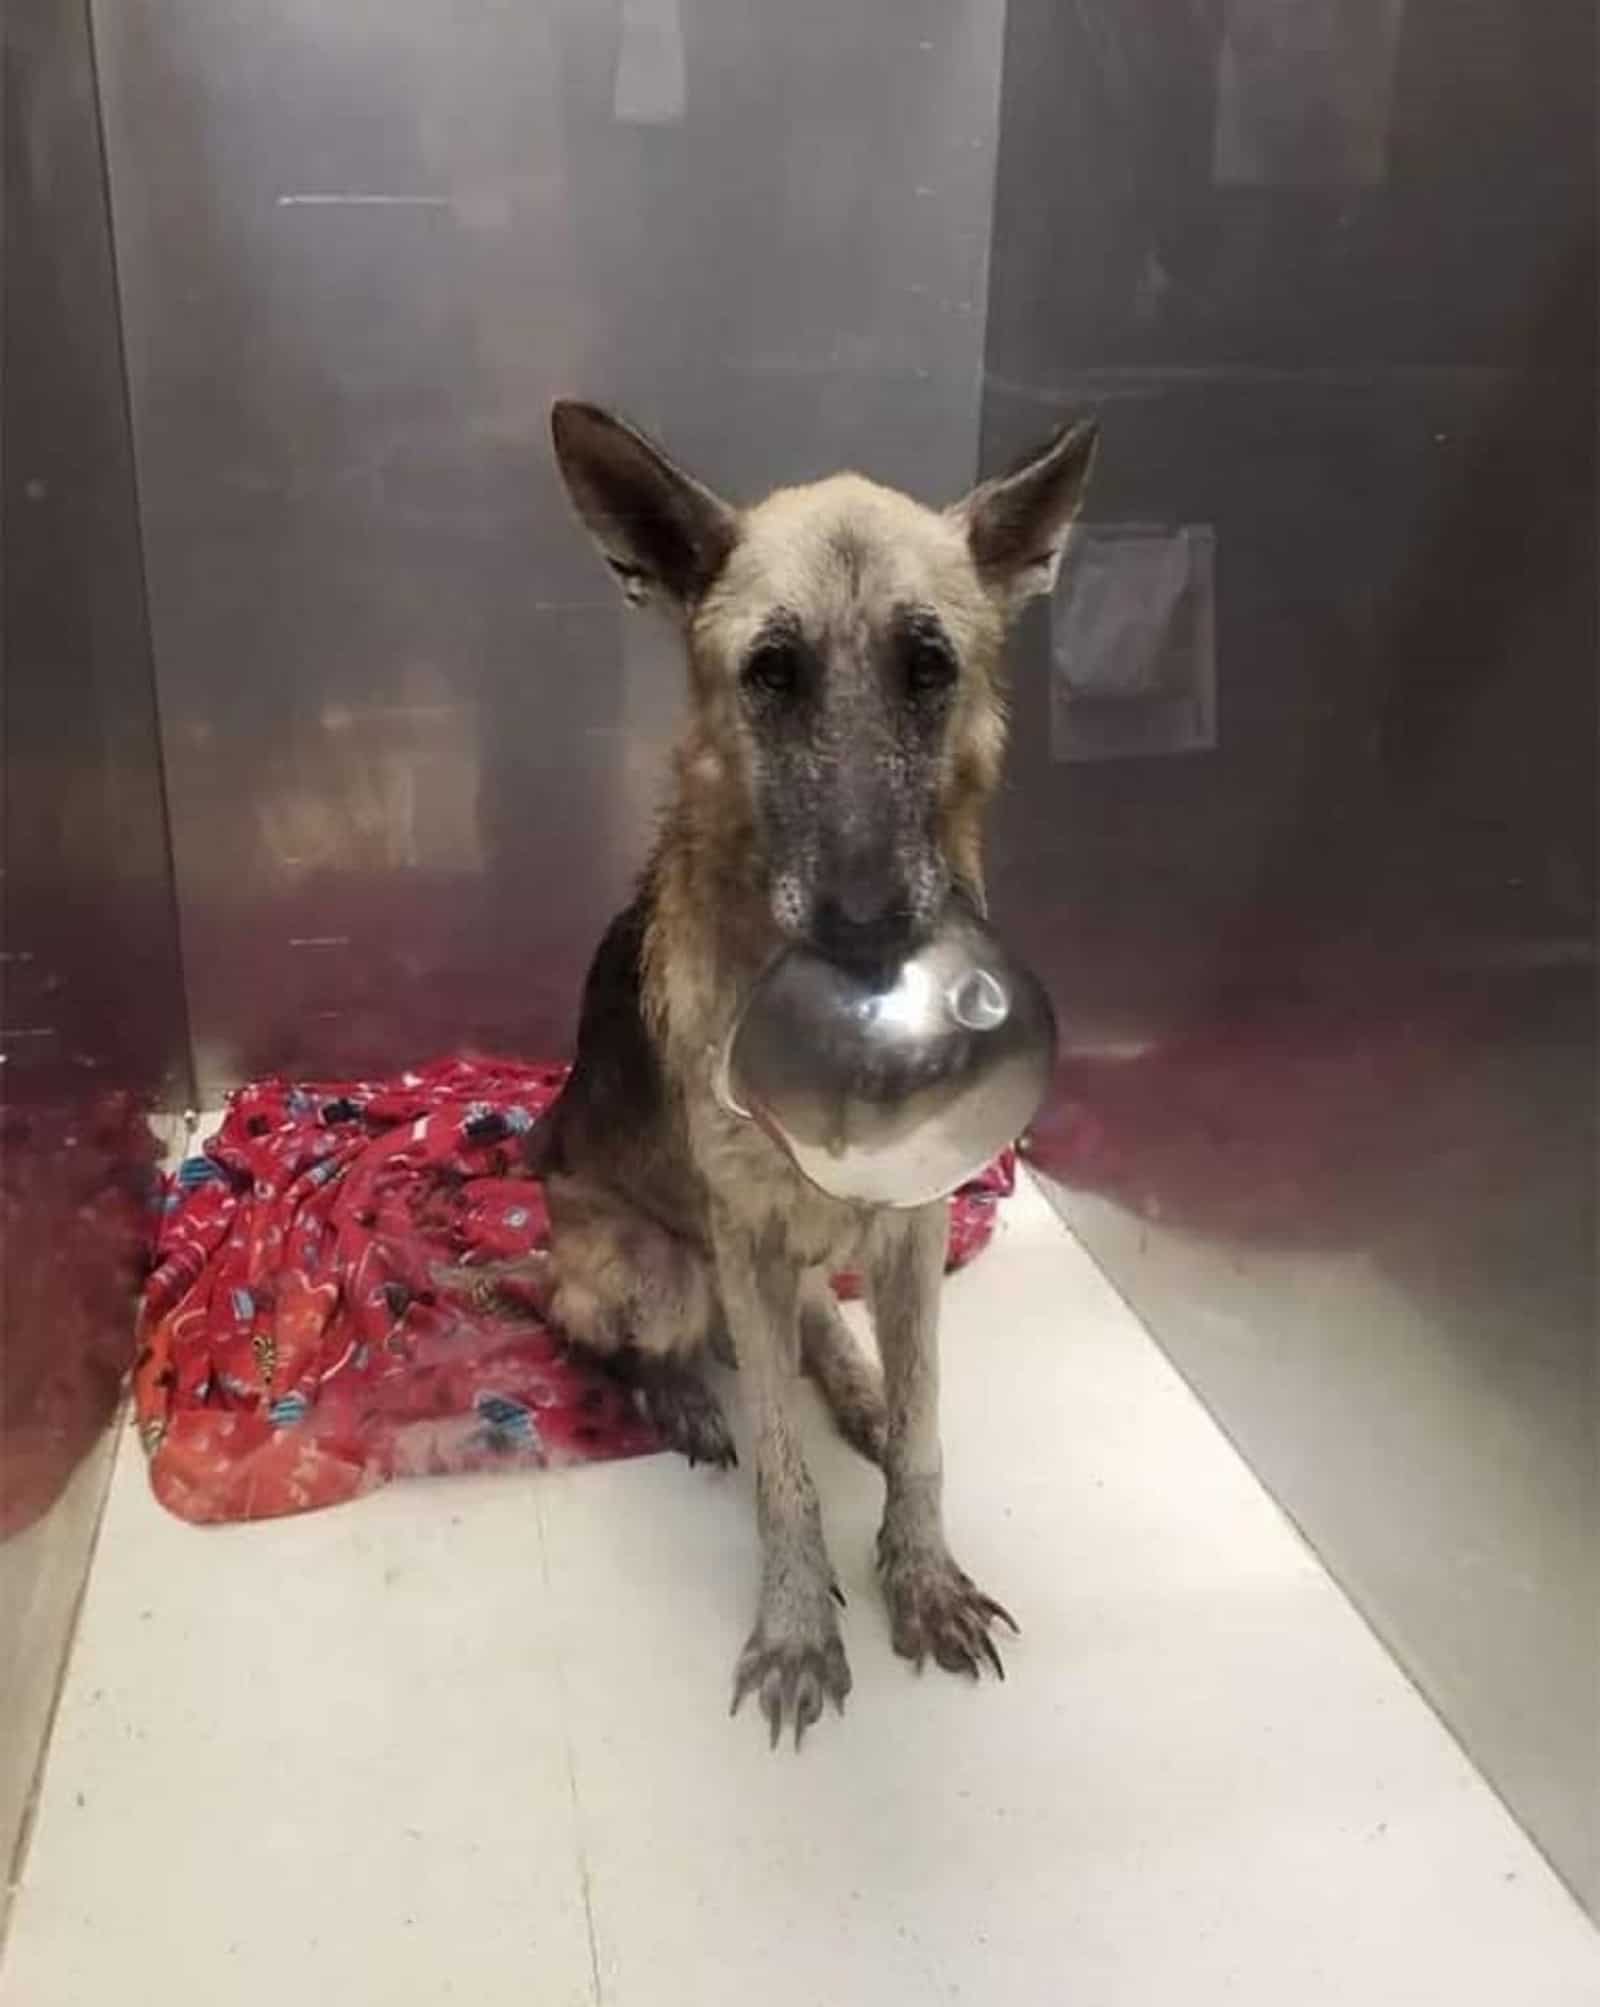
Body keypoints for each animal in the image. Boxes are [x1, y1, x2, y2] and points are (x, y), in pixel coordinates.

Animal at [529, 399, 1092, 1750]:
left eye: (929, 667)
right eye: (770, 673)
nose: (866, 926)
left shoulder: (916, 1222)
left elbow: (928, 1430)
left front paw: (920, 1572)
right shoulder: (737, 1237)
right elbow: (783, 1476)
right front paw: (796, 1626)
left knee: (821, 1331)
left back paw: (855, 1383)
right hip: (654, 1273)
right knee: (614, 1338)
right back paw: (680, 1393)